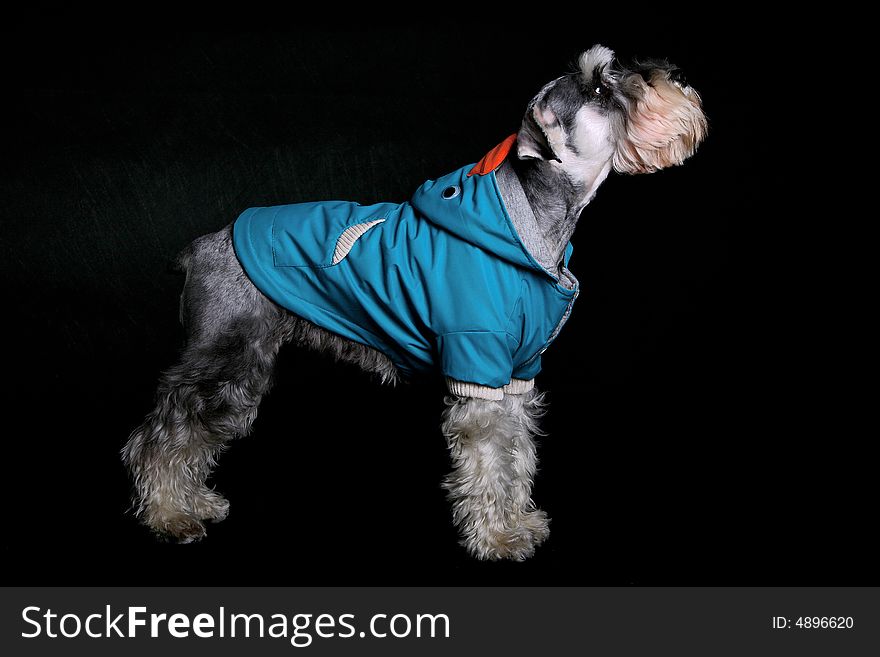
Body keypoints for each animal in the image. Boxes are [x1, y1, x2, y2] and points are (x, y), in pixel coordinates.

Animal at [124, 44, 704, 560]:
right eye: (601, 89)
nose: (674, 75)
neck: (534, 225)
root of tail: (203, 246)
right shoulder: (478, 365)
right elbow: (488, 460)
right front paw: (497, 538)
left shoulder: (516, 374)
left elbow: (516, 454)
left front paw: (518, 520)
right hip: (224, 360)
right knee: (165, 433)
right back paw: (170, 515)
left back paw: (193, 503)